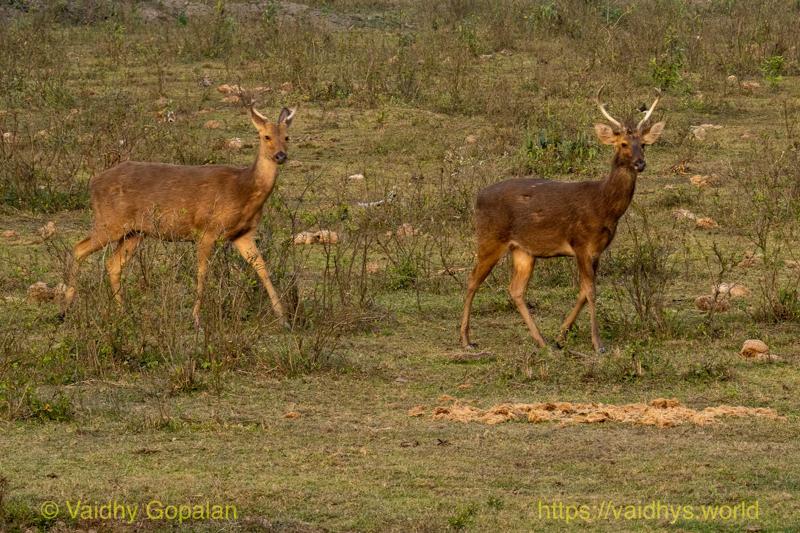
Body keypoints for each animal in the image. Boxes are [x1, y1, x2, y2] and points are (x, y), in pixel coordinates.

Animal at [62, 106, 296, 329]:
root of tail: (93, 183)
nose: (280, 156)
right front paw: (196, 319)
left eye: (286, 137)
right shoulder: (207, 230)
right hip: (109, 221)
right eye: (265, 136)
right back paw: (65, 308)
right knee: (78, 248)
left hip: (135, 232)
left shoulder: (242, 234)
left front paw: (283, 318)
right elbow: (202, 273)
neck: (243, 190)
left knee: (113, 264)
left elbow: (262, 268)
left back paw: (123, 313)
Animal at [460, 91, 665, 354]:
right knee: (472, 280)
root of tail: (477, 197)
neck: (604, 207)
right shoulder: (580, 243)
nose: (640, 163)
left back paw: (541, 340)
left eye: (644, 144)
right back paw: (466, 339)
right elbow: (591, 291)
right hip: (490, 238)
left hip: (523, 250)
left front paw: (561, 335)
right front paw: (598, 344)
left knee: (515, 289)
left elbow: (583, 292)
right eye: (623, 144)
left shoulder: (597, 250)